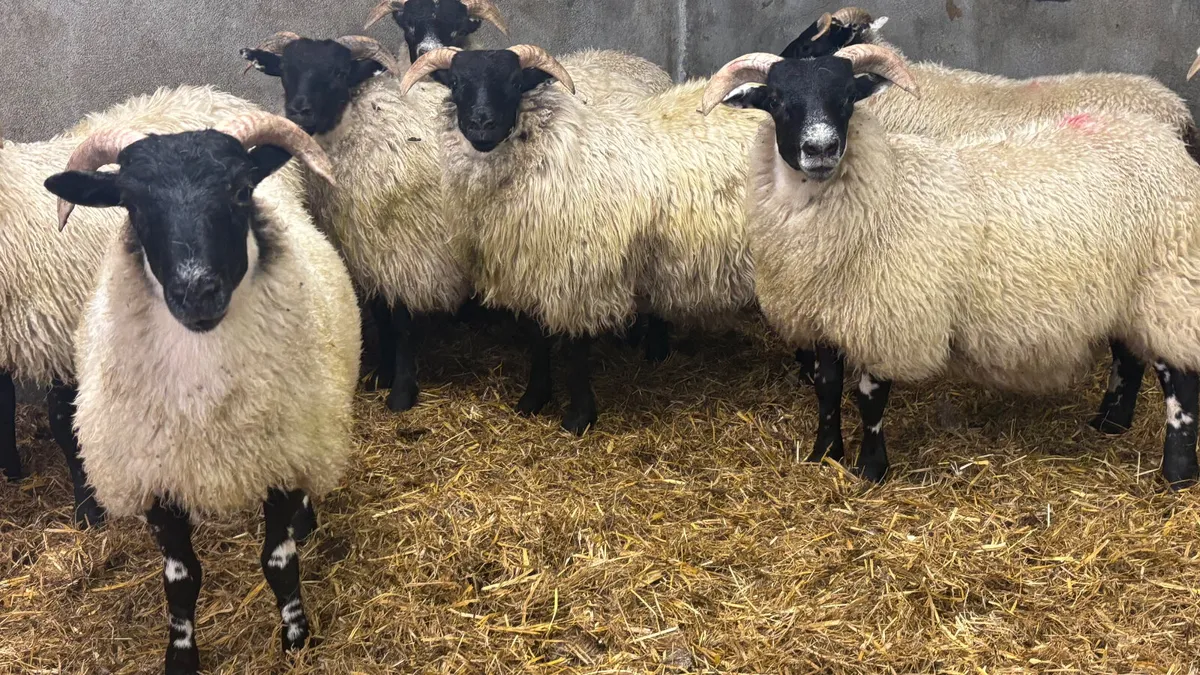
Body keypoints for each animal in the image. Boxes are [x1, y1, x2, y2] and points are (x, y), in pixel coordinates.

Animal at [45, 111, 358, 673]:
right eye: (132, 203)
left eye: (239, 190)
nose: (197, 292)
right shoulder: (157, 479)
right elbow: (181, 579)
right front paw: (181, 656)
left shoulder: (281, 460)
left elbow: (278, 561)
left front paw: (296, 638)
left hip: (314, 429)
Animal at [400, 45, 766, 433]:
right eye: (455, 83)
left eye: (514, 82)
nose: (481, 124)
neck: (549, 154)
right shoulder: (527, 267)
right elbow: (537, 339)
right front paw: (533, 399)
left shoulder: (578, 272)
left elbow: (576, 350)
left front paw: (578, 417)